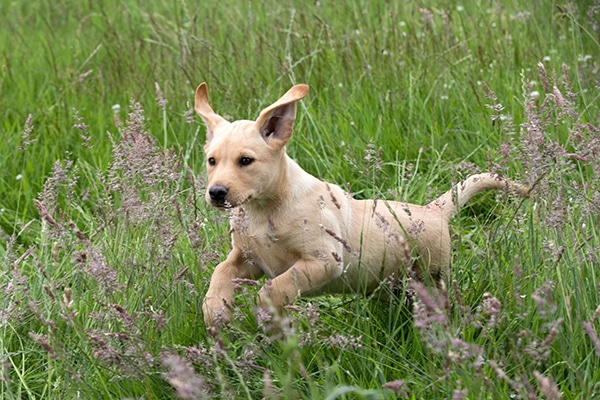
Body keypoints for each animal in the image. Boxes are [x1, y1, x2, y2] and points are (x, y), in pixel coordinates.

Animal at [195, 83, 528, 326]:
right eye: (211, 161)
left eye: (246, 161)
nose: (217, 192)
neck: (265, 209)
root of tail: (434, 210)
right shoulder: (247, 257)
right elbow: (222, 271)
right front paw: (216, 310)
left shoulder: (324, 260)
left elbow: (278, 285)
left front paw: (266, 312)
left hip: (432, 276)